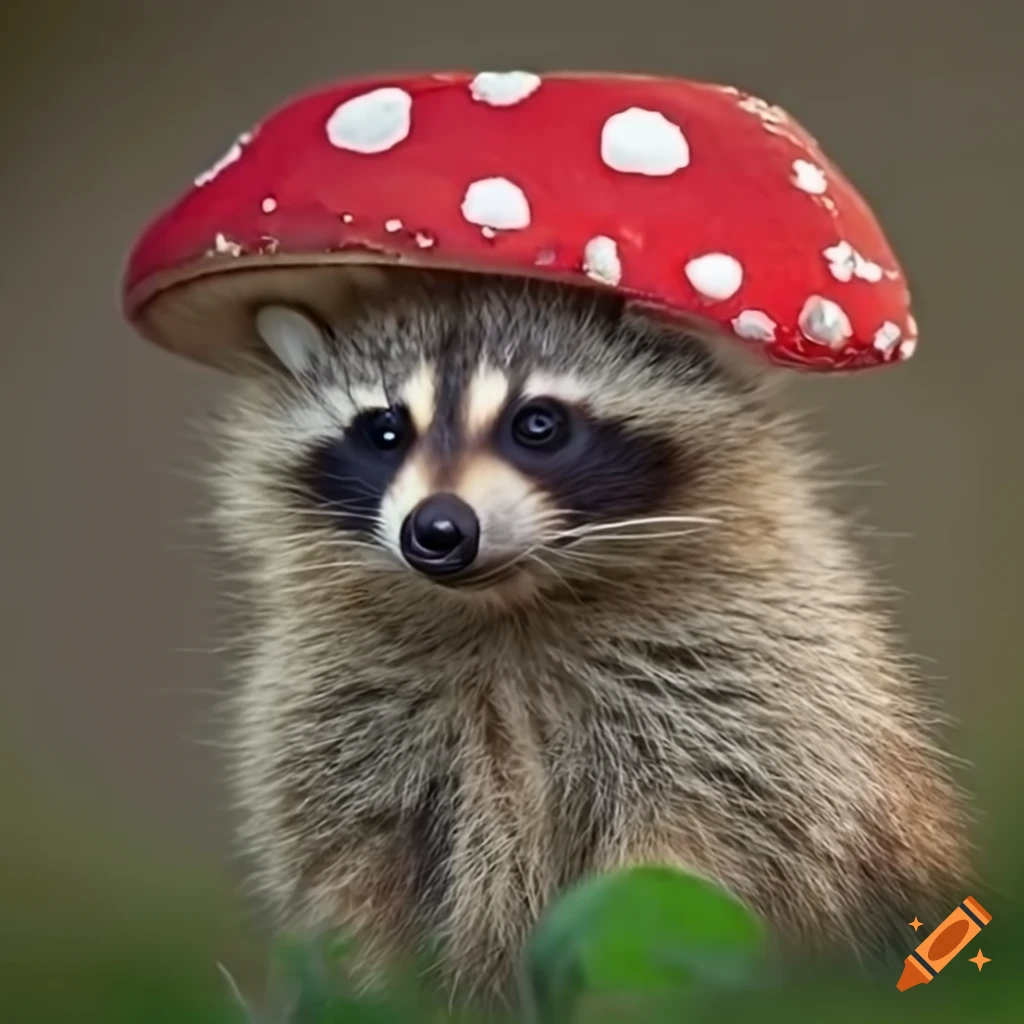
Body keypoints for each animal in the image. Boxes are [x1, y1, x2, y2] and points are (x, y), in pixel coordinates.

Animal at [209, 271, 970, 1004]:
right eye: (385, 431)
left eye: (537, 424)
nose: (438, 530)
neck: (507, 607)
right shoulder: (337, 720)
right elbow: (355, 880)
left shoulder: (752, 691)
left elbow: (695, 862)